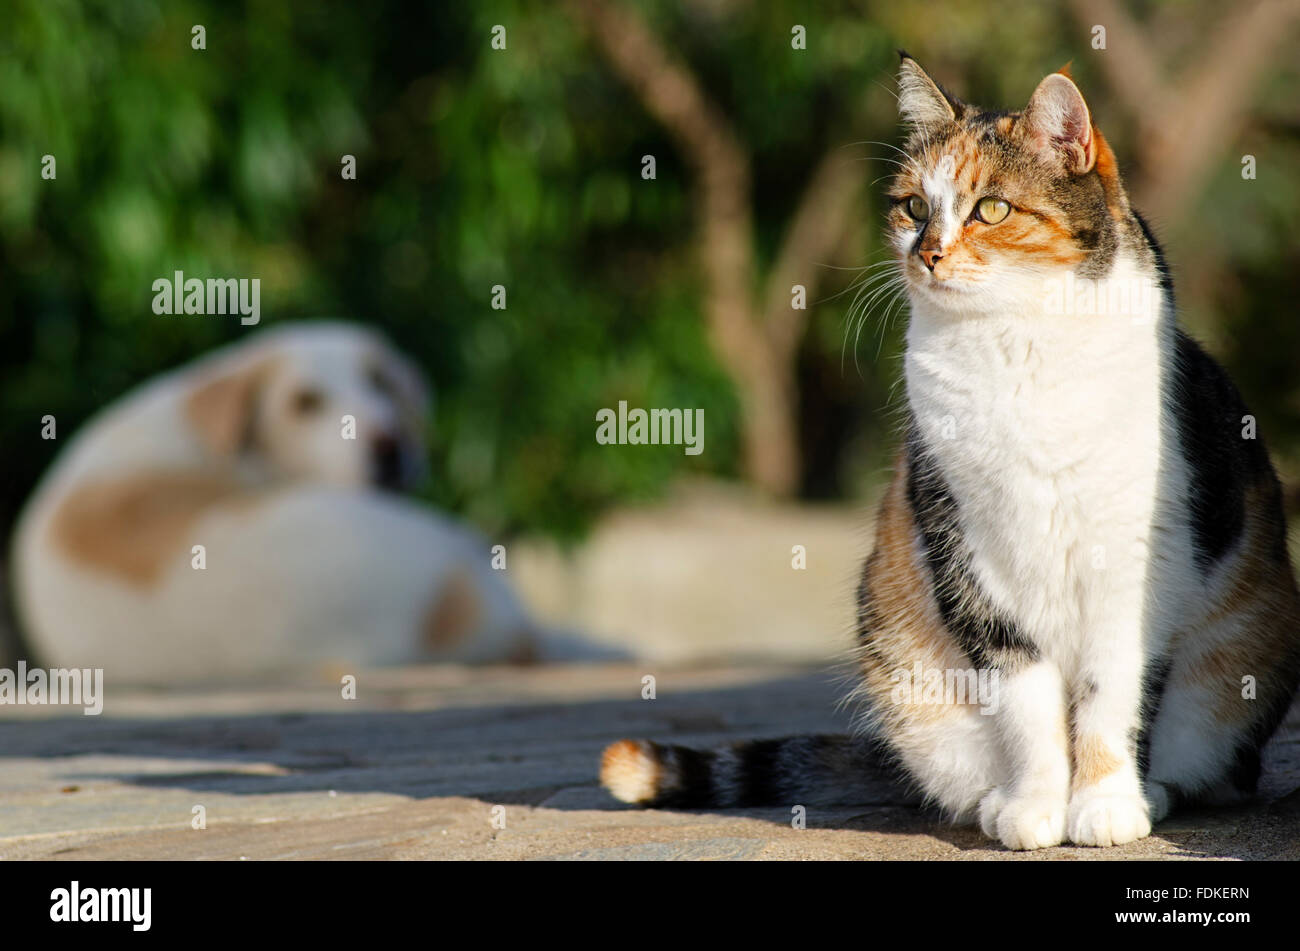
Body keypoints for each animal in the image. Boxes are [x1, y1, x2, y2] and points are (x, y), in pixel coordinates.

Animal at [598, 55, 1300, 852]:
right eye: (911, 207)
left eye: (990, 209)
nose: (927, 253)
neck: (1016, 347)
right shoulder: (965, 550)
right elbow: (1023, 696)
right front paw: (1035, 807)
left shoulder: (1138, 561)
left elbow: (1109, 691)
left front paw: (1105, 803)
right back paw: (994, 803)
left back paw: (1153, 790)